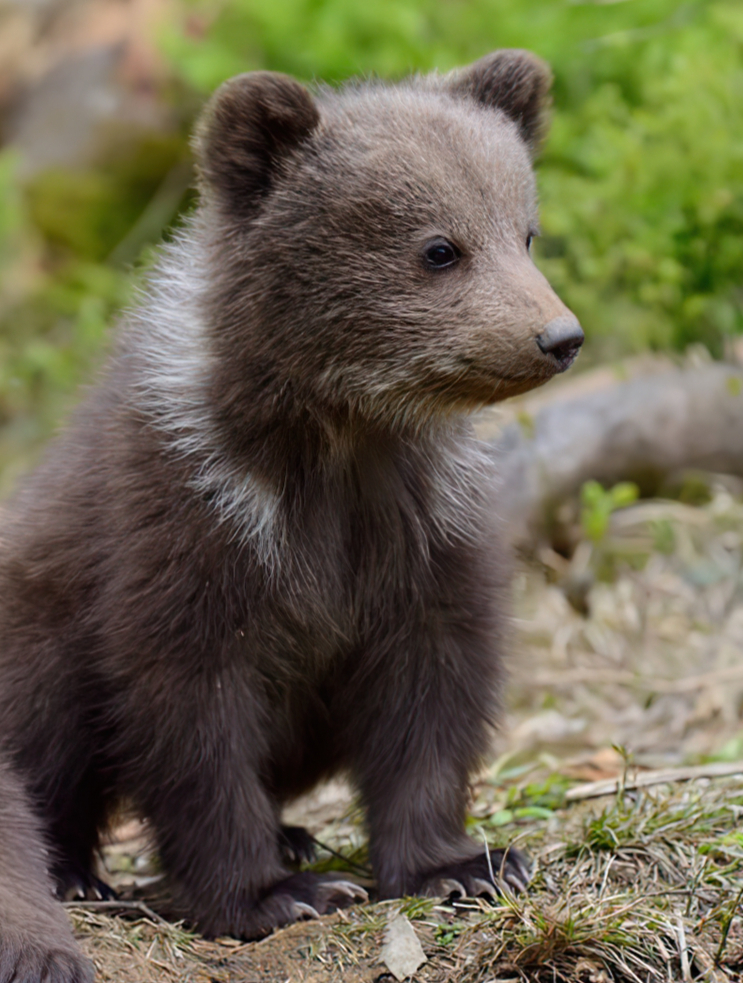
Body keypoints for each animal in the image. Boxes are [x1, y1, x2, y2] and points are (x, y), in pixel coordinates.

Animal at [0, 50, 580, 980]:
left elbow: (433, 685)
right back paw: (81, 873)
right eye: (438, 248)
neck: (334, 439)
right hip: (36, 630)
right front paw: (273, 893)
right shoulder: (190, 520)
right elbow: (190, 714)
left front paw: (465, 863)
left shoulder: (420, 527)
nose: (557, 337)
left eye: (525, 231)